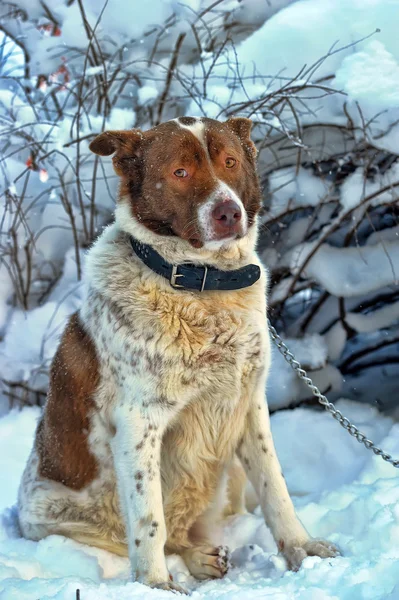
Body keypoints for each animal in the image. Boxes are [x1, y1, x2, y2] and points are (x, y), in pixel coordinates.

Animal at [18, 116, 338, 592]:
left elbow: (275, 488)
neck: (202, 284)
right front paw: (155, 586)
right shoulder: (138, 422)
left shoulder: (248, 406)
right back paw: (194, 561)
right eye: (180, 172)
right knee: (155, 532)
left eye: (230, 162)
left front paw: (303, 549)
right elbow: (150, 520)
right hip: (54, 518)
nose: (229, 213)